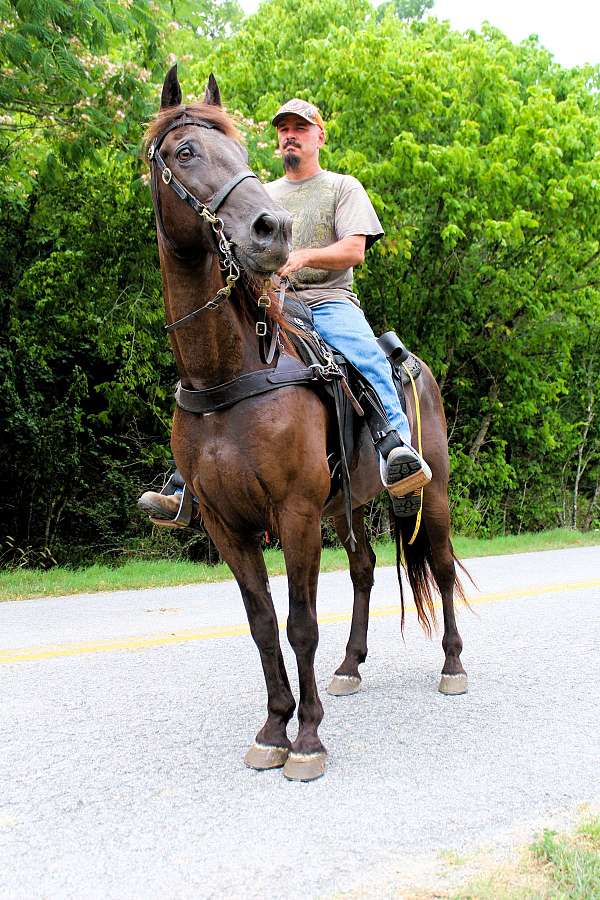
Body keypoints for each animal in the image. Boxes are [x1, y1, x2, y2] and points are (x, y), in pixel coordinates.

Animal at [145, 67, 468, 780]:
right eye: (186, 151)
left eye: (242, 153)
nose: (272, 229)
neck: (228, 375)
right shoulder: (226, 524)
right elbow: (264, 625)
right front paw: (273, 728)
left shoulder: (293, 512)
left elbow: (300, 624)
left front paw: (309, 740)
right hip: (347, 508)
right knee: (366, 570)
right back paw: (351, 666)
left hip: (431, 491)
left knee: (440, 563)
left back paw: (454, 667)